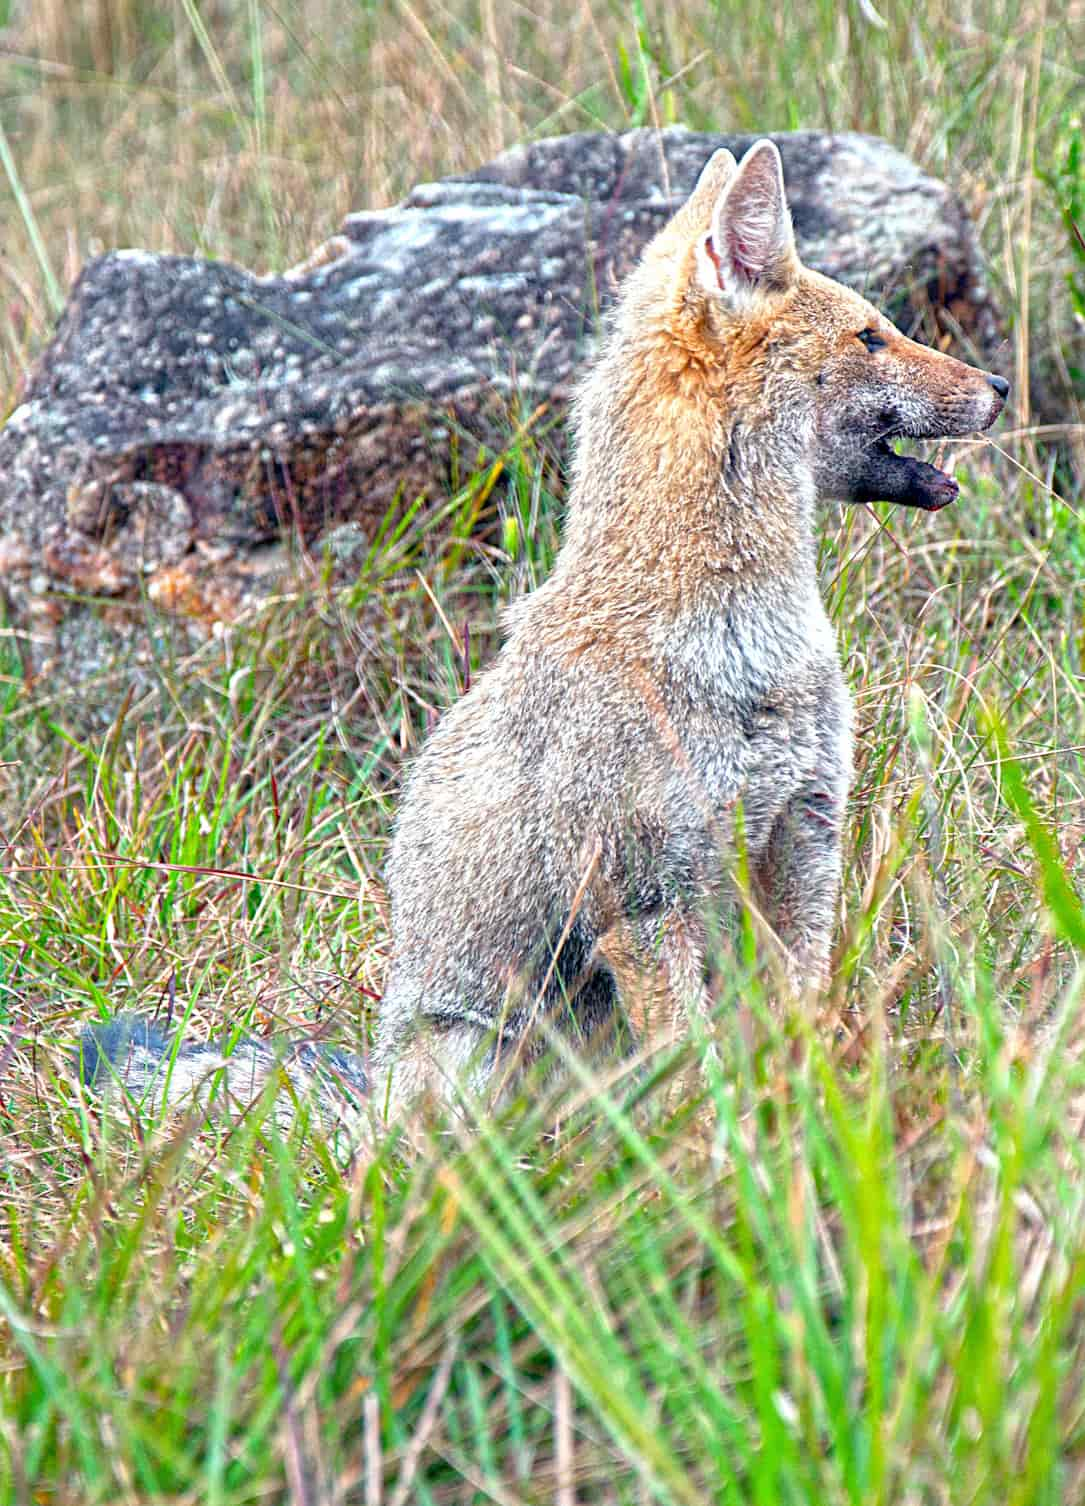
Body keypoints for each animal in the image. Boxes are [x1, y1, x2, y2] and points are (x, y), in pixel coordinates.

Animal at [82, 138, 1006, 1132]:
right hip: (479, 1055)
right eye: (873, 335)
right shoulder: (644, 899)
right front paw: (721, 1155)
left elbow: (799, 1032)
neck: (740, 638)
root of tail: (373, 1099)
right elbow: (696, 1081)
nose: (997, 386)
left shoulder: (802, 840)